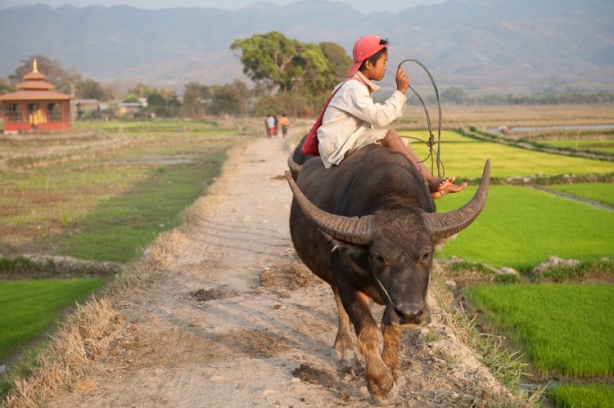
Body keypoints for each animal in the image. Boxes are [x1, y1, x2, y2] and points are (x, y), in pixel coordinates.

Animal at [286, 142, 490, 404]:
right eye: (379, 257)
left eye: (426, 254)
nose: (412, 314)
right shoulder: (348, 284)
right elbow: (367, 331)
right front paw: (381, 385)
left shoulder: (397, 305)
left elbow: (391, 331)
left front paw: (394, 372)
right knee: (339, 305)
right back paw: (343, 346)